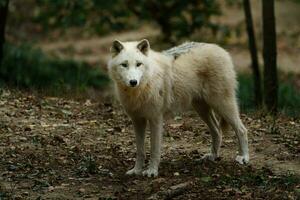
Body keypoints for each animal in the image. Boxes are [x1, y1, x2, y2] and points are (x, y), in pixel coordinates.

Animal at [107, 39, 248, 177]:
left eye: (138, 64)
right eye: (124, 65)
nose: (133, 82)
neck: (141, 88)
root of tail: (220, 49)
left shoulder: (155, 119)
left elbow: (154, 149)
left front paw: (152, 171)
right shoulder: (137, 120)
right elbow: (140, 150)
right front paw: (136, 170)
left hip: (222, 105)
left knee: (242, 130)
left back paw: (244, 157)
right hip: (202, 109)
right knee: (217, 131)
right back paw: (212, 156)